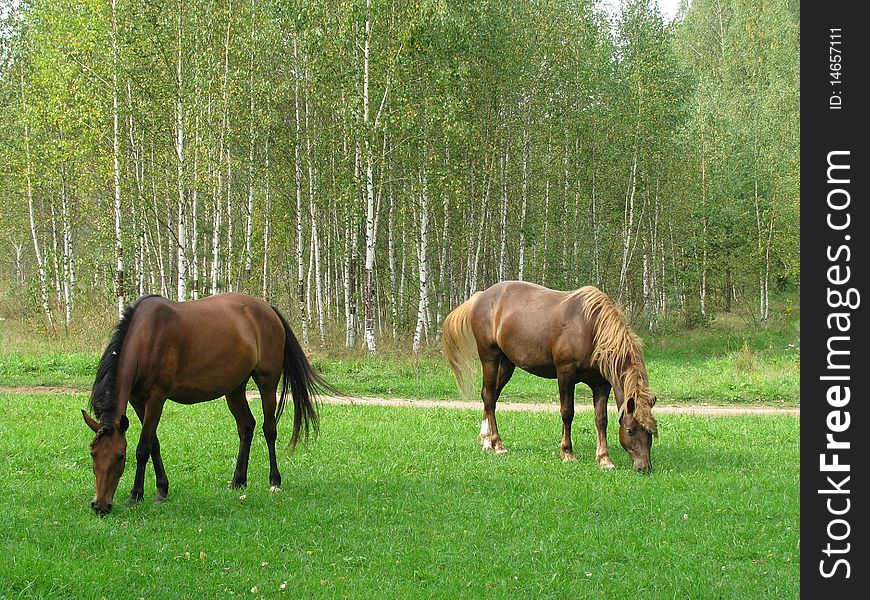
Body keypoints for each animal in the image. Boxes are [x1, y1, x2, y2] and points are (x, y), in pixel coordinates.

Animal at [82, 292, 334, 512]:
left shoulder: (156, 398)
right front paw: (162, 489)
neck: (147, 338)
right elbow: (154, 444)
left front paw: (136, 495)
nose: (100, 506)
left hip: (267, 381)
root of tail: (267, 309)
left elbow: (143, 447)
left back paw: (274, 481)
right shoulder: (137, 401)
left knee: (269, 429)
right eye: (93, 454)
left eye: (120, 456)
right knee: (246, 426)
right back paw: (238, 480)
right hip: (235, 388)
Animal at [446, 278, 656, 472]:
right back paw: (497, 444)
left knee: (491, 396)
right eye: (630, 430)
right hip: (490, 357)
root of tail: (481, 296)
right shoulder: (565, 374)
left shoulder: (601, 384)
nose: (644, 467)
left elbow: (601, 419)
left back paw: (486, 441)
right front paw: (568, 453)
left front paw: (604, 459)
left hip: (507, 364)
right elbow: (567, 413)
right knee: (489, 396)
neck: (591, 328)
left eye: (652, 431)